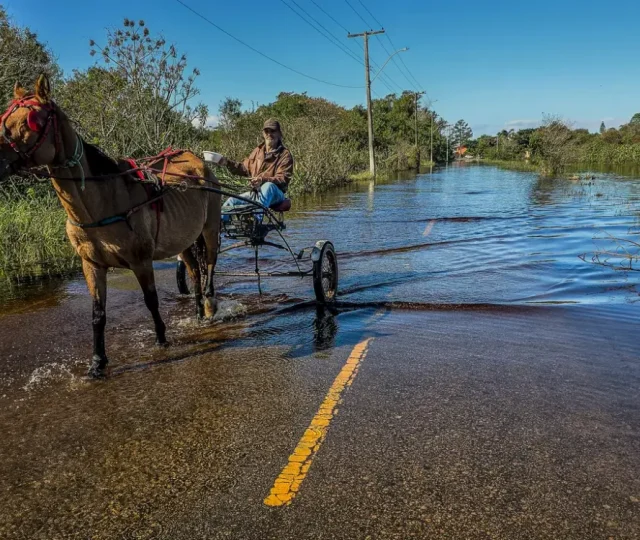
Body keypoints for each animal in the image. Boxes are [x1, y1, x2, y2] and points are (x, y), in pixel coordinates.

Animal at [0, 76, 222, 378]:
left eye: (30, 121)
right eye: (4, 117)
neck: (101, 203)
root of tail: (198, 161)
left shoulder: (141, 260)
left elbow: (151, 301)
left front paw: (161, 340)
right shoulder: (92, 264)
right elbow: (98, 315)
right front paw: (97, 362)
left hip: (210, 227)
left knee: (209, 265)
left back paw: (210, 305)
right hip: (185, 240)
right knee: (194, 273)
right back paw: (198, 314)